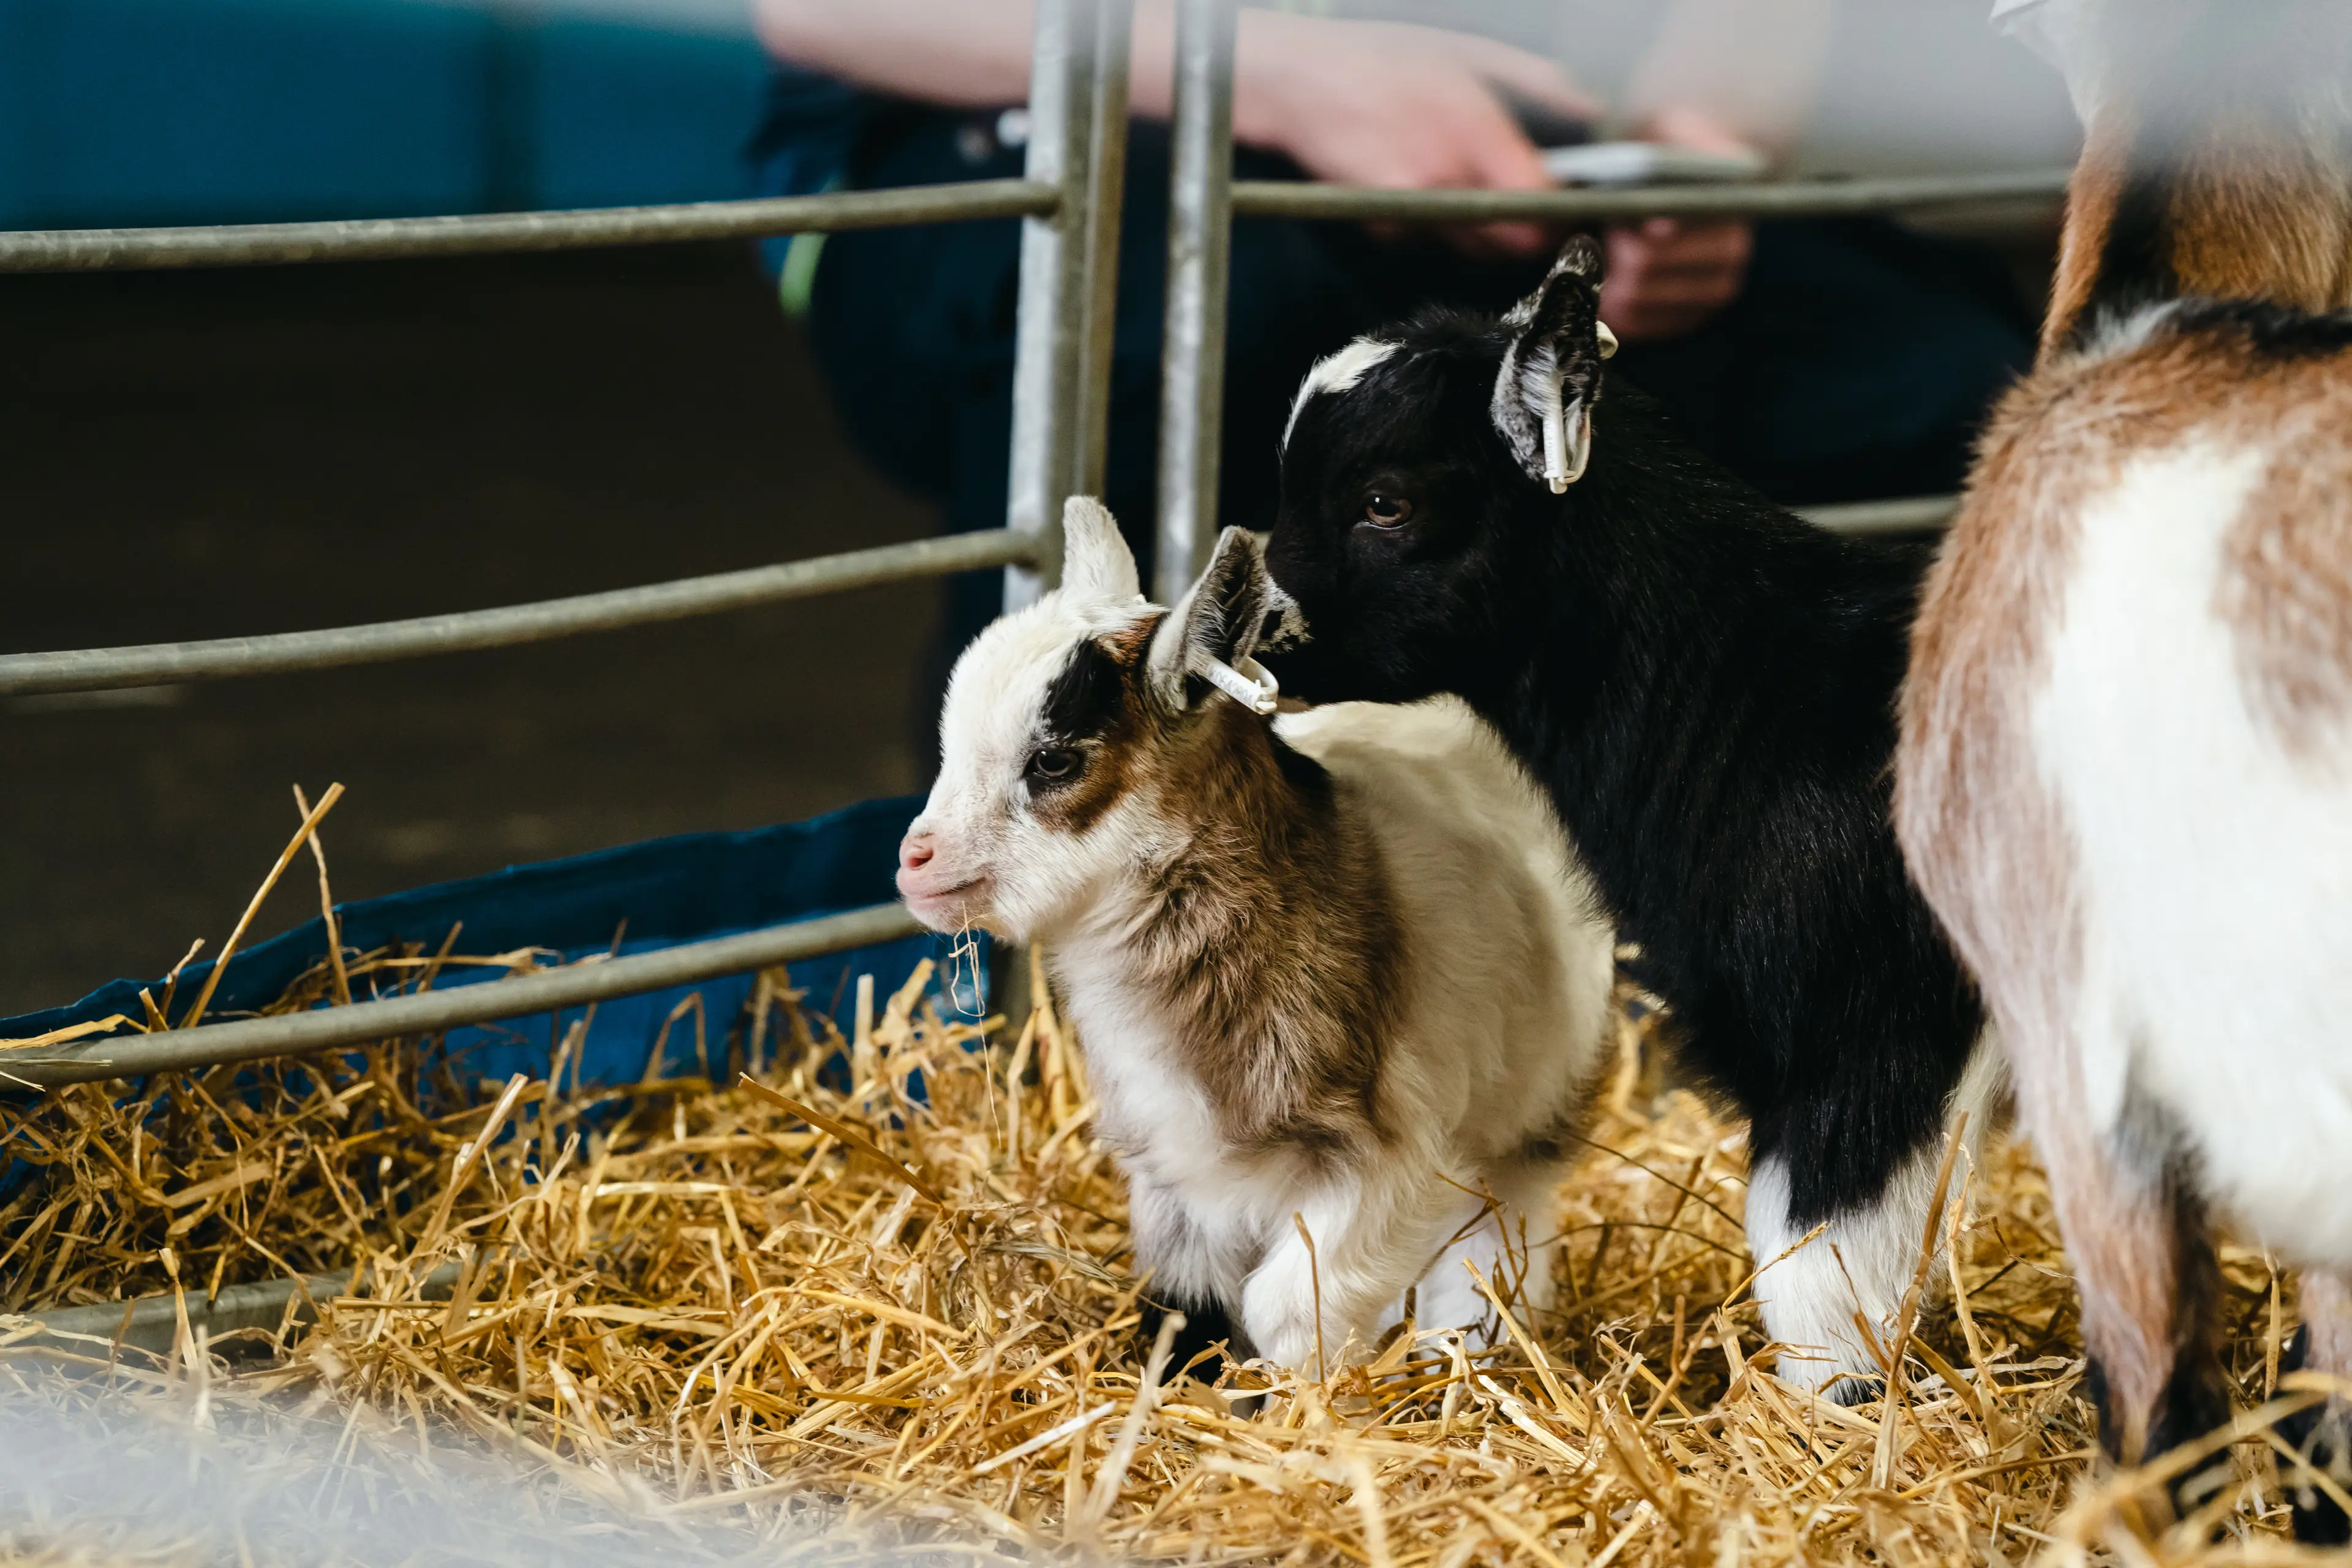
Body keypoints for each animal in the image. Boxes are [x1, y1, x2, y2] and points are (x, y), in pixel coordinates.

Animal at [895, 498, 1619, 1375]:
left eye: (1055, 761)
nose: (915, 861)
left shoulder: (1388, 1163)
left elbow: (1290, 1307)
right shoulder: (1171, 1169)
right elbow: (1188, 1308)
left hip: (1535, 1109)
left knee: (1502, 1232)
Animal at [1261, 238, 2002, 1397]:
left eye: (1385, 502)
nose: (1239, 628)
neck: (1764, 686)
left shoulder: (1864, 1021)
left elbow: (1822, 1275)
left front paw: (1846, 1412)